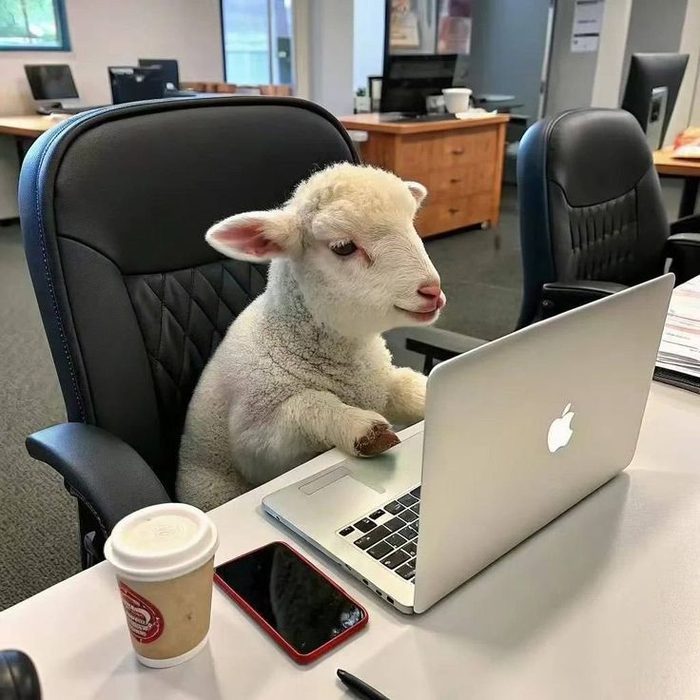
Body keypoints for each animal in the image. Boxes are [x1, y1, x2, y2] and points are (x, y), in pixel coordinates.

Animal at [177, 163, 446, 512]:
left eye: (411, 225)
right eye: (343, 247)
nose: (432, 292)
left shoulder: (381, 384)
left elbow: (411, 388)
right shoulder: (256, 441)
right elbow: (308, 404)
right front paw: (361, 428)